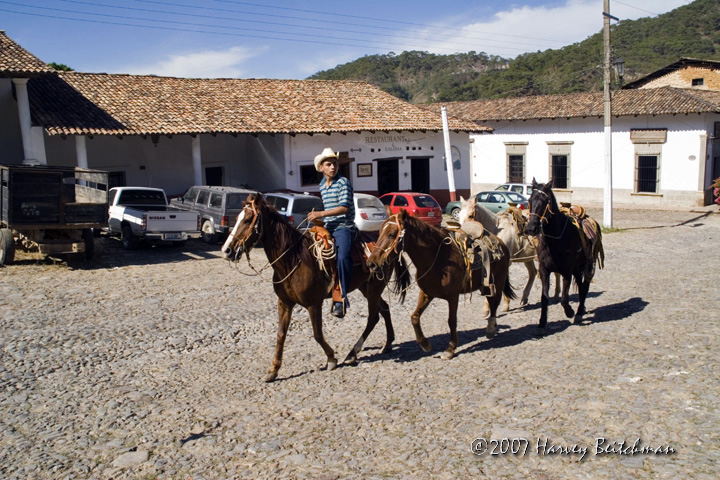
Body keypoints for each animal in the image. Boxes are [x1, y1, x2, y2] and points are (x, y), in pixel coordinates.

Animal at [219, 193, 408, 380]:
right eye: (238, 218)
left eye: (247, 220)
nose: (226, 250)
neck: (294, 260)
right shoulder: (284, 303)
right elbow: (280, 334)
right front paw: (273, 369)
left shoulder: (313, 304)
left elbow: (317, 334)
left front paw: (331, 358)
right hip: (366, 287)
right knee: (384, 308)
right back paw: (388, 343)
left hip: (375, 286)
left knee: (373, 317)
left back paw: (352, 353)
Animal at [368, 210, 516, 360]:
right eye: (379, 232)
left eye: (392, 234)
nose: (372, 263)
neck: (439, 258)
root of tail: (502, 243)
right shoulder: (426, 293)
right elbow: (414, 317)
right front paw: (425, 344)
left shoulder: (453, 297)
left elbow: (452, 321)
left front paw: (450, 349)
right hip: (486, 285)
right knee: (490, 300)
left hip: (499, 282)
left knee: (495, 302)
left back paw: (491, 328)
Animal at [520, 178, 604, 328]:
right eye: (530, 200)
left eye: (545, 201)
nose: (531, 228)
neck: (555, 239)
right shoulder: (544, 270)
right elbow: (544, 297)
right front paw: (542, 321)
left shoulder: (566, 271)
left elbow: (564, 298)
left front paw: (570, 312)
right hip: (577, 268)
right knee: (581, 286)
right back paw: (581, 310)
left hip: (587, 264)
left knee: (585, 286)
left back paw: (579, 312)